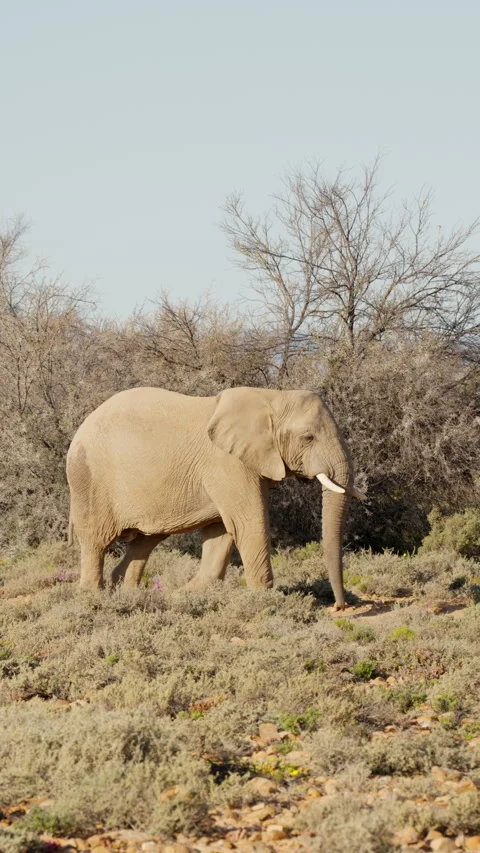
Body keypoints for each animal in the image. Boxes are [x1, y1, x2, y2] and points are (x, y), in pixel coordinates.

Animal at [66, 386, 365, 609]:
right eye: (308, 437)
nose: (340, 607)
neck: (271, 397)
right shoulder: (228, 464)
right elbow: (248, 524)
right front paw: (265, 601)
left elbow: (221, 530)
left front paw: (189, 595)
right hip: (88, 479)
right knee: (95, 540)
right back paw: (94, 598)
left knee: (145, 541)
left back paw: (128, 594)